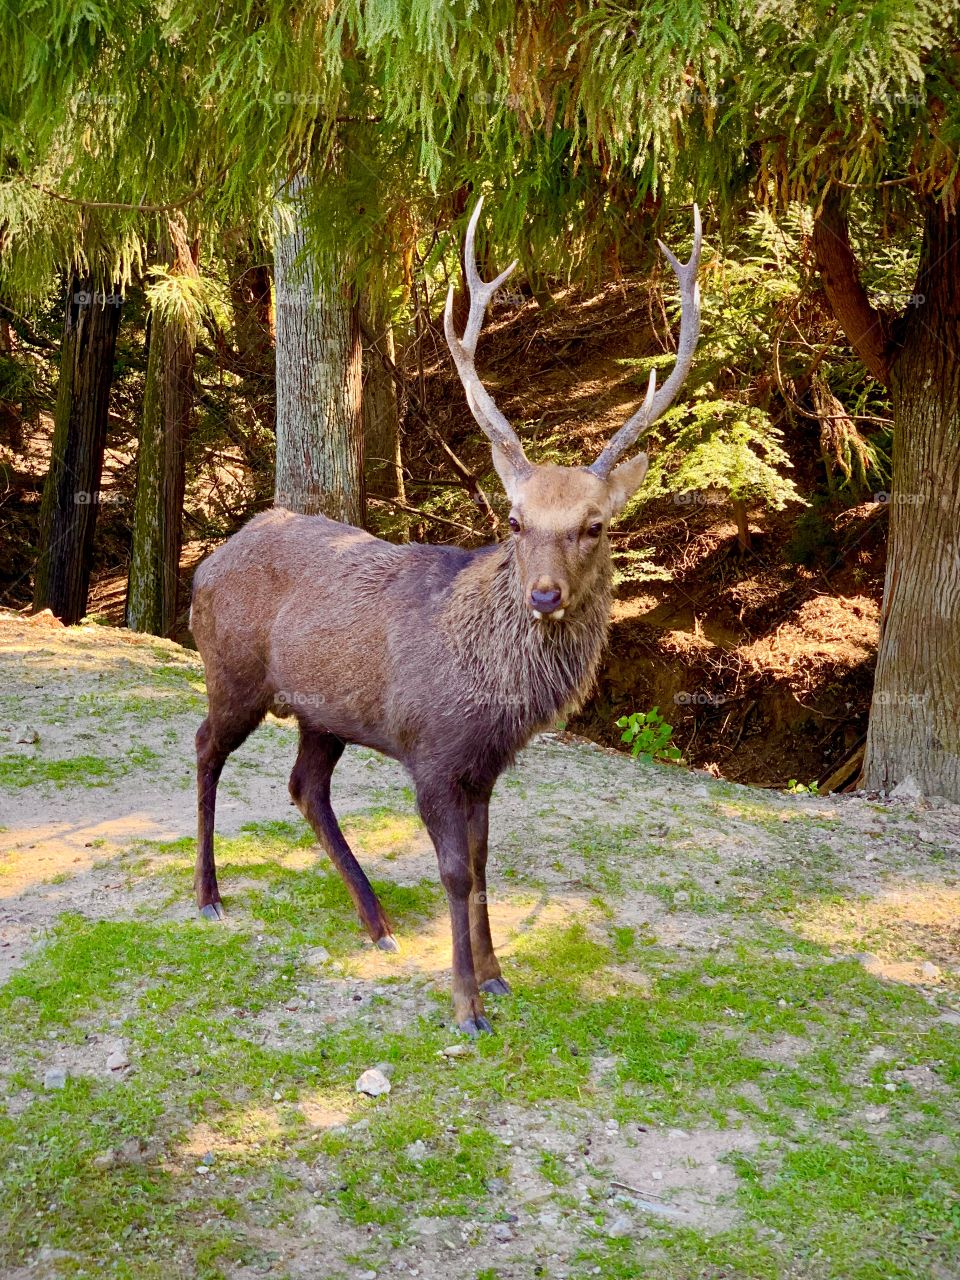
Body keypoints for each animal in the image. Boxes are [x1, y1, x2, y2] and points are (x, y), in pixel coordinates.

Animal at [190, 199, 702, 1035]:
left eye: (594, 525)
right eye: (516, 520)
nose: (544, 596)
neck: (494, 699)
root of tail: (207, 562)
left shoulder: (483, 766)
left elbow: (488, 861)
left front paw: (497, 975)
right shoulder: (428, 751)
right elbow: (457, 871)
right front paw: (466, 1002)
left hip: (323, 711)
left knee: (305, 785)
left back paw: (375, 921)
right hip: (231, 673)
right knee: (206, 748)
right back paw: (208, 895)